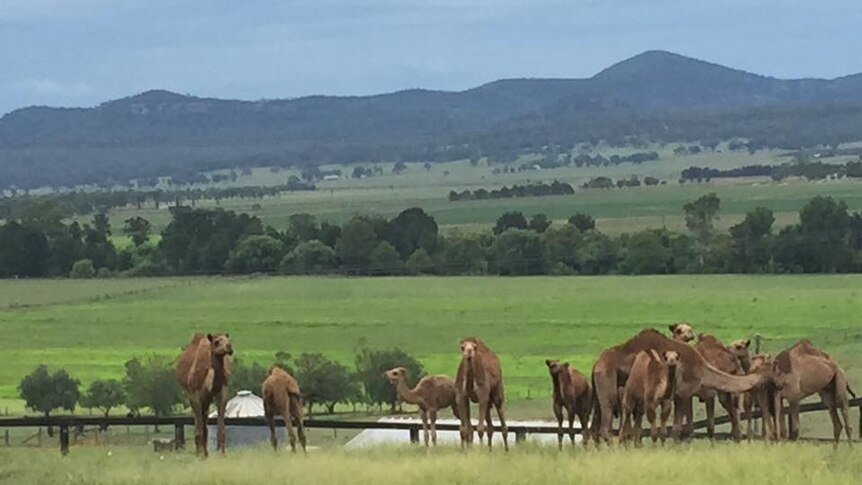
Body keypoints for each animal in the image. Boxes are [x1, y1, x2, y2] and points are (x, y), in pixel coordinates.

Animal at [592, 328, 768, 444]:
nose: (738, 438)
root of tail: (596, 365)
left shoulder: (681, 395)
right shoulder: (685, 392)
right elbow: (679, 428)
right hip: (607, 382)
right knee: (606, 423)